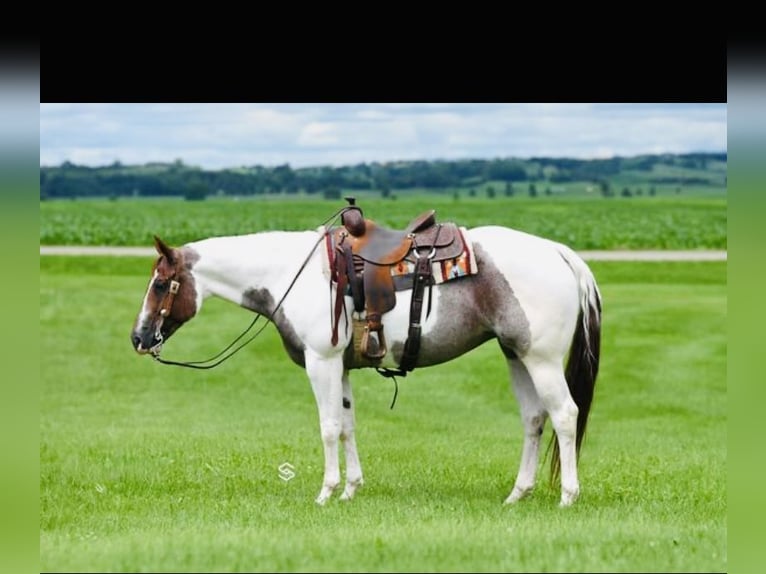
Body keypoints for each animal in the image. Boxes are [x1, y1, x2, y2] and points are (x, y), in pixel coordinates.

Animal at [130, 209, 602, 507]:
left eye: (160, 284)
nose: (138, 337)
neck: (289, 274)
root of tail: (561, 253)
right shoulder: (340, 366)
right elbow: (347, 425)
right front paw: (351, 489)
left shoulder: (321, 361)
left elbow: (328, 427)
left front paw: (326, 492)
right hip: (516, 355)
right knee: (534, 420)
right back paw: (517, 494)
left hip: (541, 360)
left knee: (564, 415)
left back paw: (567, 496)